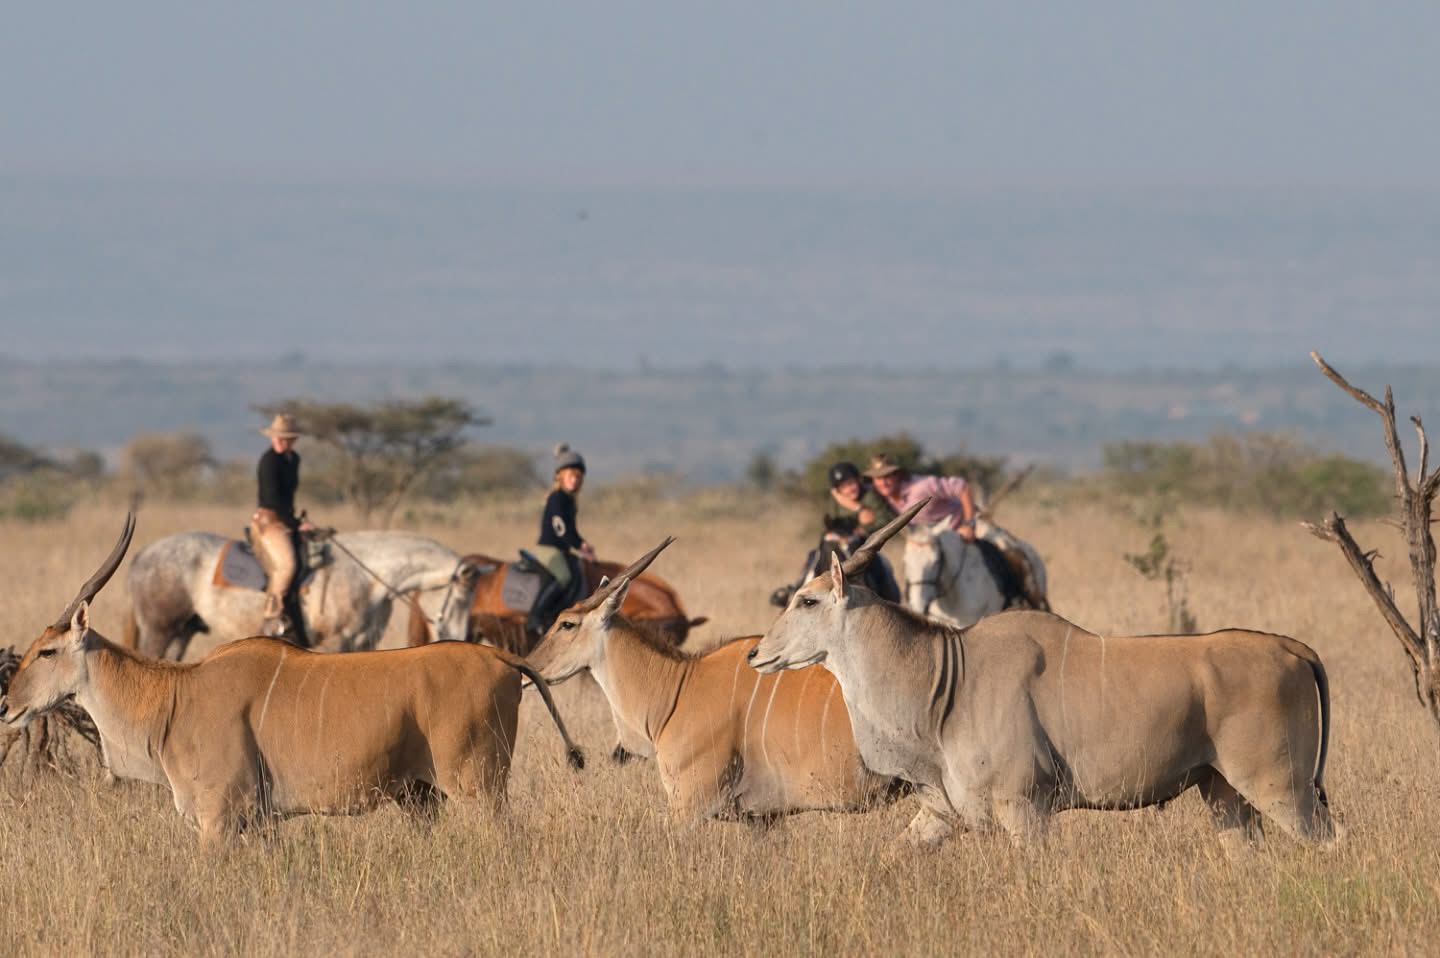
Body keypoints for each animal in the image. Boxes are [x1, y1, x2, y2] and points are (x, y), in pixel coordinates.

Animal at [125, 530, 482, 660]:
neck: (366, 577)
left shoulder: (360, 644)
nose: (459, 638)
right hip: (159, 630)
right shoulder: (333, 644)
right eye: (461, 598)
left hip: (183, 632)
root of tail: (143, 553)